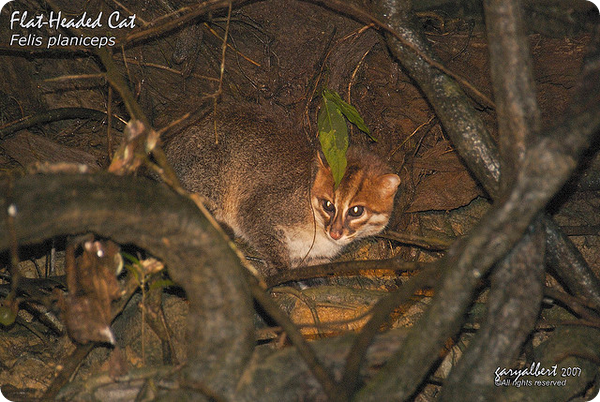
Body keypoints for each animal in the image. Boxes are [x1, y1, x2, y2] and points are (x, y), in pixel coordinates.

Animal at [162, 103, 400, 276]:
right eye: (328, 205)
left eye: (356, 211)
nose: (335, 232)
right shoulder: (258, 209)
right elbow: (264, 236)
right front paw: (280, 270)